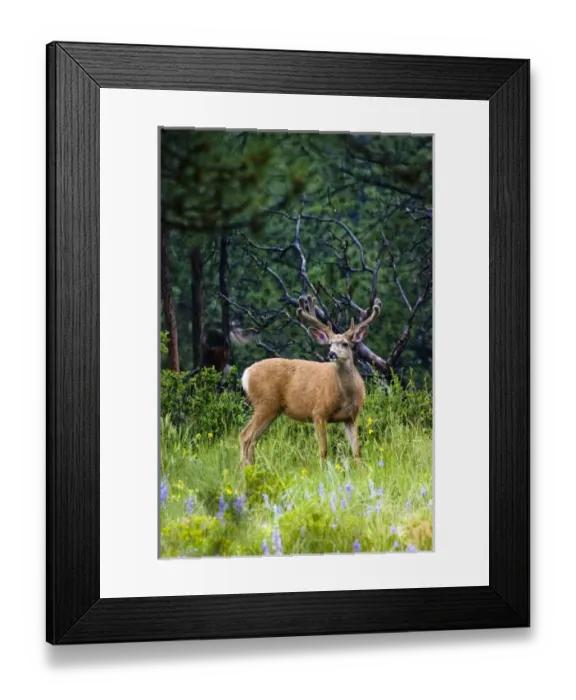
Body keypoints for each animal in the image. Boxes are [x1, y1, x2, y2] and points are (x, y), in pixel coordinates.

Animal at [239, 295, 382, 468]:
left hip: (272, 409)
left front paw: (360, 470)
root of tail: (246, 374)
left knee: (253, 440)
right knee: (245, 435)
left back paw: (251, 468)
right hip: (265, 403)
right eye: (329, 344)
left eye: (345, 344)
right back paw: (243, 470)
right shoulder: (318, 412)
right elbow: (323, 450)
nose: (331, 354)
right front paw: (322, 471)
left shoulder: (351, 417)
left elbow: (356, 451)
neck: (346, 395)